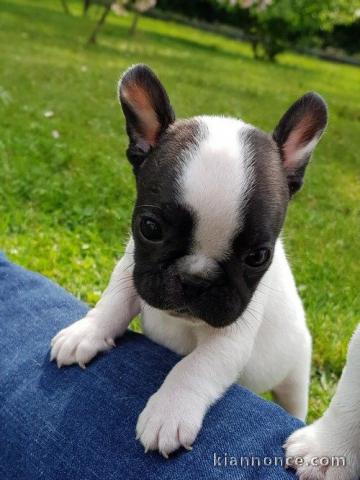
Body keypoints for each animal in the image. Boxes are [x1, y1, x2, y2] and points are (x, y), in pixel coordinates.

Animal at [51, 64, 330, 458]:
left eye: (258, 256)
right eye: (150, 228)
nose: (196, 279)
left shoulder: (231, 336)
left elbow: (195, 366)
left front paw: (169, 411)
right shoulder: (131, 267)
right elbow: (113, 302)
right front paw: (85, 333)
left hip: (295, 374)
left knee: (292, 401)